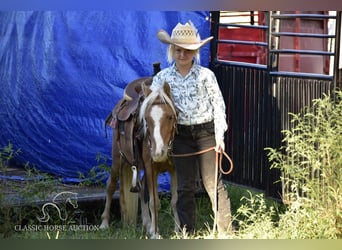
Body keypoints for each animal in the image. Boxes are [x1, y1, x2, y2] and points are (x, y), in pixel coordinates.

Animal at [99, 77, 179, 238]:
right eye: (146, 119)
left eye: (170, 117)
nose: (158, 152)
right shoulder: (151, 168)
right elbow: (154, 202)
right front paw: (156, 233)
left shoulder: (173, 169)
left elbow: (174, 200)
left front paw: (179, 230)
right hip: (117, 159)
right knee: (111, 185)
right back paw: (104, 223)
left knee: (141, 188)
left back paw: (147, 225)